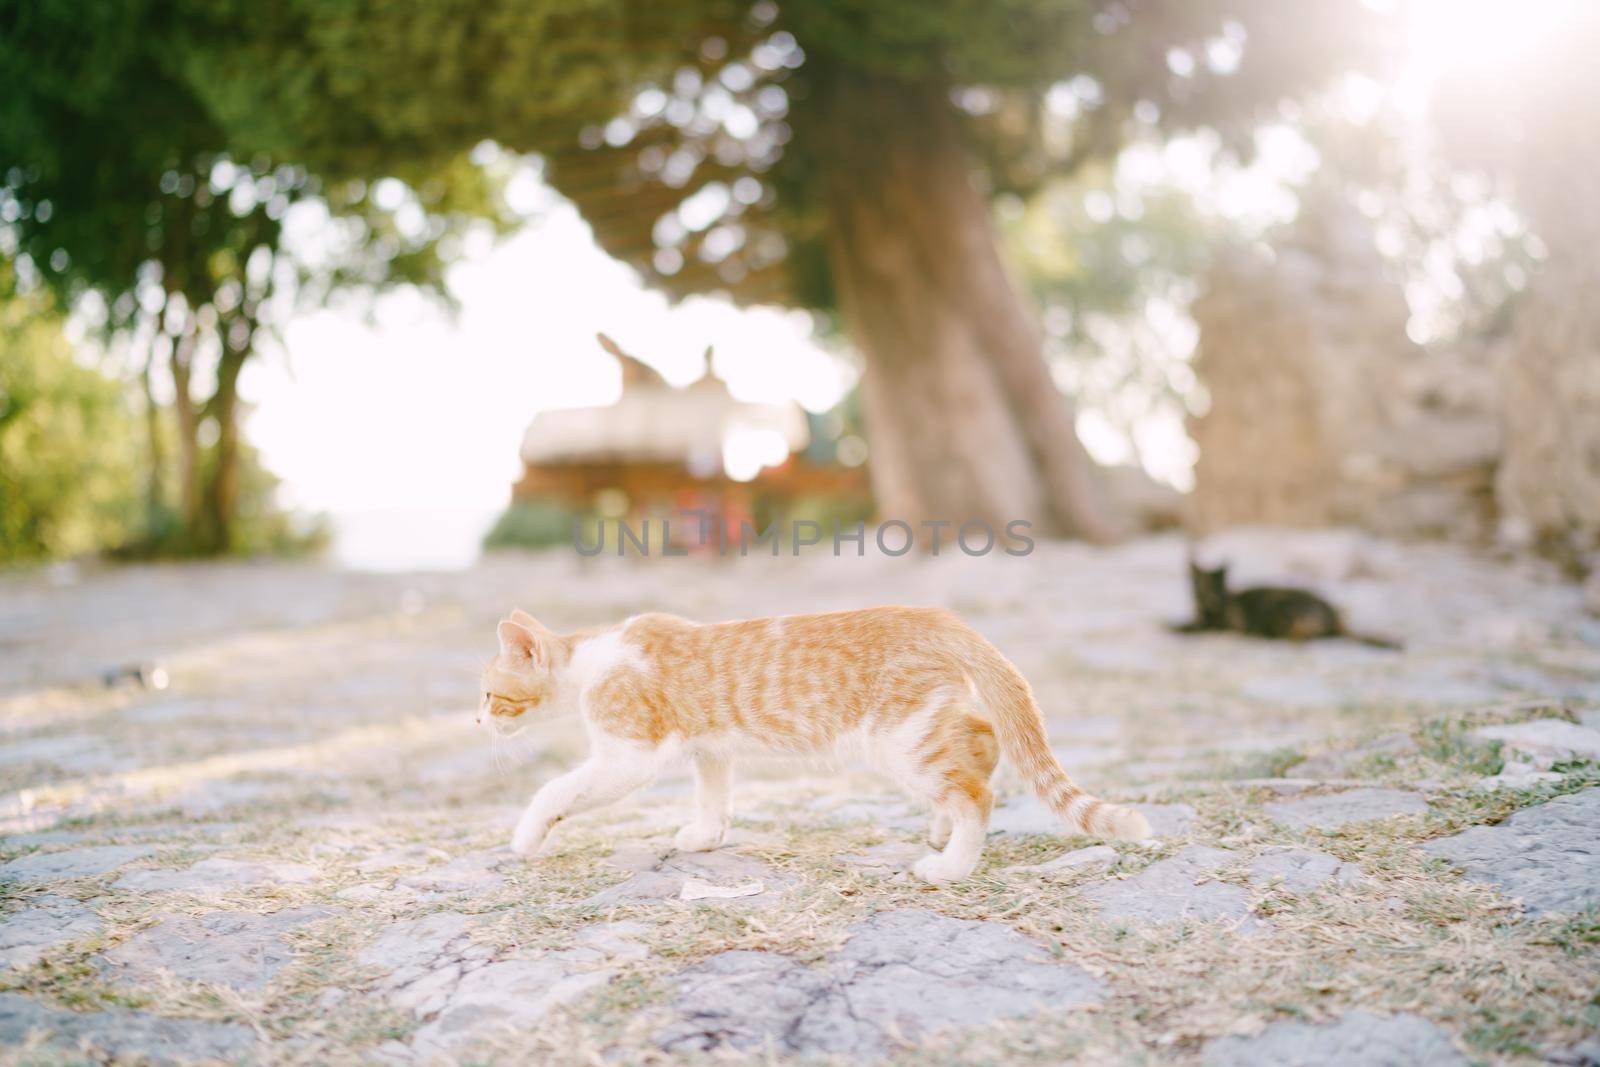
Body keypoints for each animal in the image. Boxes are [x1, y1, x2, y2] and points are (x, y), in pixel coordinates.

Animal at [476, 604, 1152, 883]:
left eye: (487, 694)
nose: (477, 724)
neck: (594, 657)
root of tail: (939, 617)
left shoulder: (627, 756)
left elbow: (555, 789)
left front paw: (527, 836)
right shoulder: (709, 748)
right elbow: (712, 793)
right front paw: (706, 835)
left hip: (901, 739)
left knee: (975, 792)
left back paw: (952, 863)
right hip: (926, 724)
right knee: (983, 743)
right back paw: (941, 827)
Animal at [1177, 559, 1401, 652]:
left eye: (1215, 587)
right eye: (1199, 586)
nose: (1210, 598)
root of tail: (1333, 613)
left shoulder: (1215, 625)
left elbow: (1188, 627)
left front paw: (1176, 626)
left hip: (1280, 606)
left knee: (1306, 635)